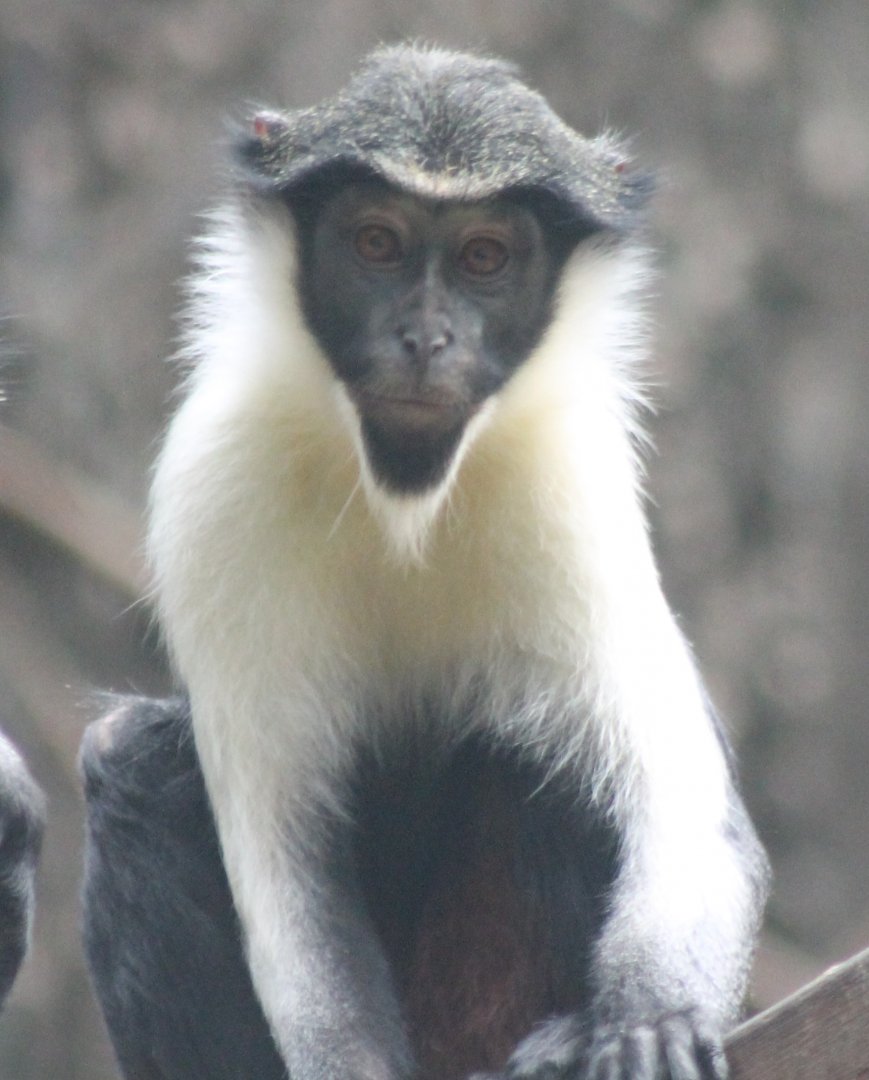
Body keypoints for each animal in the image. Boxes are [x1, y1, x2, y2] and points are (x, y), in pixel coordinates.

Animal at [81, 44, 769, 1080]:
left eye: (484, 258)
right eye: (377, 243)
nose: (425, 338)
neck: (400, 493)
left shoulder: (567, 485)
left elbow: (683, 810)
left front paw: (649, 1017)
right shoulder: (216, 481)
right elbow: (290, 891)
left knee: (535, 741)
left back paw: (563, 1038)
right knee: (122, 755)